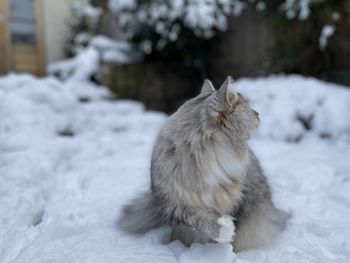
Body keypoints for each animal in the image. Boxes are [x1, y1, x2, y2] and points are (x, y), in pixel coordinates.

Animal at [117, 76, 288, 252]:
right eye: (247, 106)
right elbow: (197, 219)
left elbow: (237, 224)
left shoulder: (239, 198)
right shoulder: (172, 205)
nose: (258, 113)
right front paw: (224, 229)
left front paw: (229, 246)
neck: (204, 161)